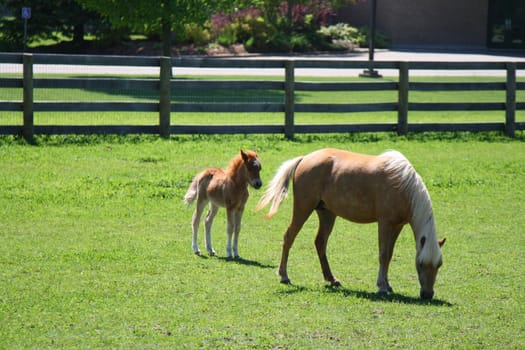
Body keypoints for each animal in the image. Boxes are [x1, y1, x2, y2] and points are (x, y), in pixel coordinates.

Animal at [256, 148, 444, 300]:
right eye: (421, 264)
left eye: (439, 264)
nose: (427, 294)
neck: (403, 186)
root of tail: (304, 159)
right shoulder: (385, 223)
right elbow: (383, 254)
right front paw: (382, 287)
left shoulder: (397, 225)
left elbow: (389, 254)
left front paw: (387, 284)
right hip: (303, 209)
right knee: (289, 237)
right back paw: (284, 276)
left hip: (327, 214)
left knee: (320, 242)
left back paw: (332, 279)